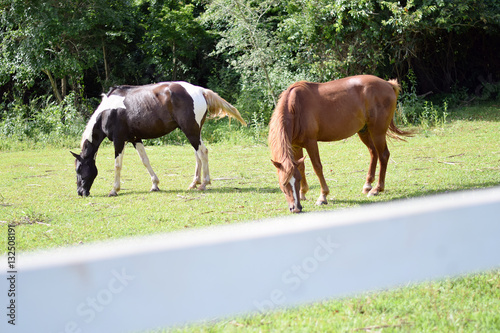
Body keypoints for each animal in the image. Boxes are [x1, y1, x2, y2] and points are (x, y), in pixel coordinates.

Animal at [71, 81, 247, 196]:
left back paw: (204, 183)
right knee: (199, 154)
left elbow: (117, 165)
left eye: (79, 170)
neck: (107, 111)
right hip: (194, 132)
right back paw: (194, 183)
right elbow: (145, 161)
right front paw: (155, 184)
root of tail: (200, 90)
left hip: (191, 131)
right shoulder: (135, 139)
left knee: (202, 152)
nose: (80, 192)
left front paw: (114, 189)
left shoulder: (119, 141)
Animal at [268, 74, 412, 211]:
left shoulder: (311, 143)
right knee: (373, 153)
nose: (296, 208)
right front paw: (303, 193)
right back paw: (368, 185)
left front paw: (323, 196)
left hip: (377, 132)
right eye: (283, 183)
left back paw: (377, 189)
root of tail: (388, 84)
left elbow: (317, 167)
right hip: (364, 131)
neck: (296, 107)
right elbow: (301, 167)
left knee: (383, 156)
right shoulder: (296, 146)